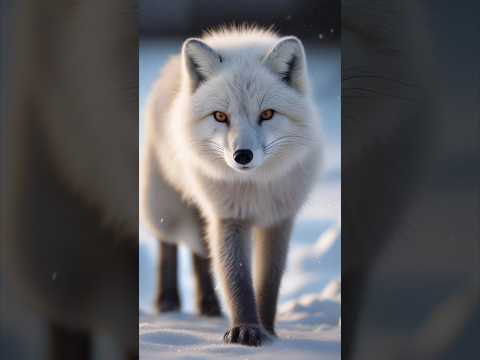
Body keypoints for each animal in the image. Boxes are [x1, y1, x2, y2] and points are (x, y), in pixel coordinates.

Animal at [142, 25, 322, 346]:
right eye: (220, 116)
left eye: (267, 114)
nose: (242, 156)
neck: (255, 188)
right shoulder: (228, 216)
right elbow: (236, 278)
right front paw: (245, 330)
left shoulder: (279, 218)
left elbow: (268, 280)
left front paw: (267, 330)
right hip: (165, 203)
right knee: (169, 244)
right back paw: (168, 301)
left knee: (200, 255)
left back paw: (209, 306)